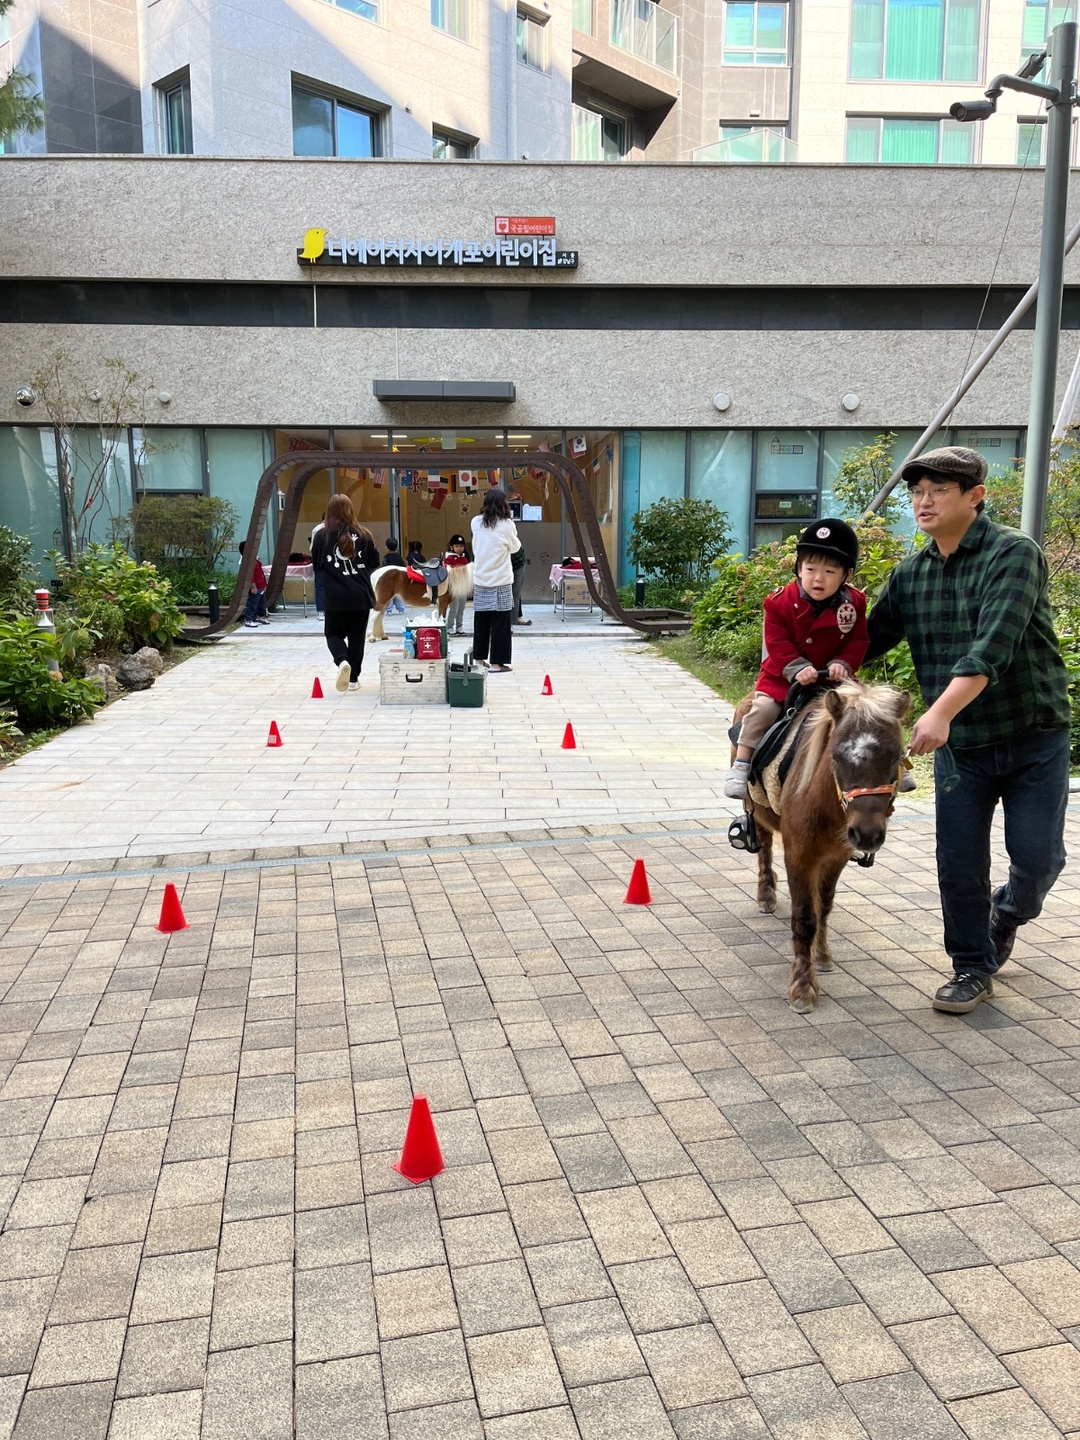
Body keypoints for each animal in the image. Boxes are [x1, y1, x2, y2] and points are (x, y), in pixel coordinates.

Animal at [743, 682, 910, 1013]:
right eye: (836, 755)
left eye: (896, 756)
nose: (867, 834)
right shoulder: (799, 857)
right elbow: (805, 919)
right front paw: (803, 988)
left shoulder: (836, 858)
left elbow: (824, 907)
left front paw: (821, 956)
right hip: (755, 811)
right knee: (764, 848)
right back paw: (766, 894)